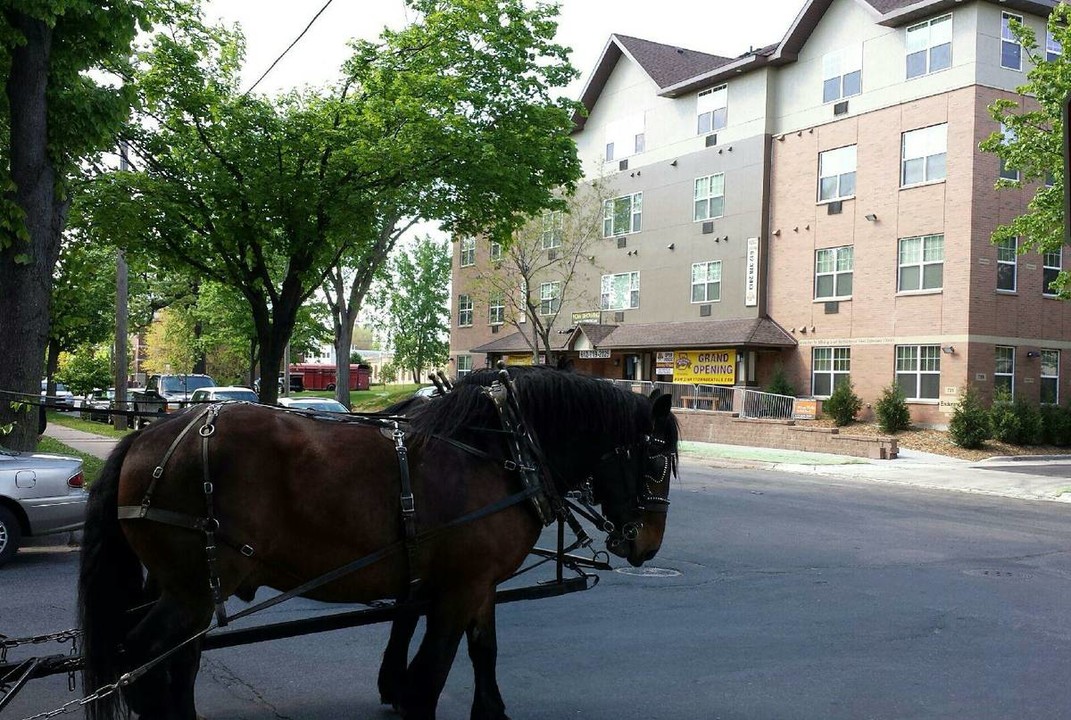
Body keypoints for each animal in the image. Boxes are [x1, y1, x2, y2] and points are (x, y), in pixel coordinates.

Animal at [77, 368, 676, 715]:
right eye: (657, 462)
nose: (647, 544)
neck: (503, 452)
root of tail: (146, 436)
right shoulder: (457, 589)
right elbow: (433, 671)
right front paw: (408, 697)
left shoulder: (476, 583)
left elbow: (483, 651)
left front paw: (491, 712)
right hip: (194, 589)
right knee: (142, 657)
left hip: (186, 589)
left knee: (177, 660)